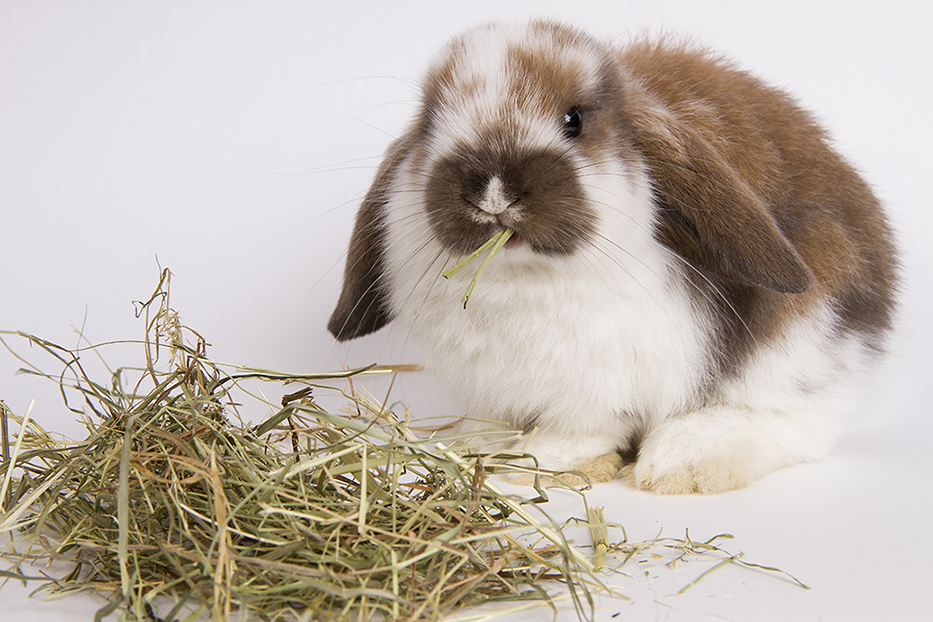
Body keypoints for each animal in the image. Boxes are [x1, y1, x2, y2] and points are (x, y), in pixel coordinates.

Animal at [326, 22, 896, 494]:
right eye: (430, 123)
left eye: (573, 120)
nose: (492, 186)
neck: (520, 280)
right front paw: (474, 444)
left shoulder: (603, 379)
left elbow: (582, 428)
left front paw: (540, 462)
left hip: (802, 342)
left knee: (795, 417)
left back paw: (684, 461)